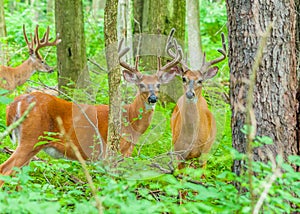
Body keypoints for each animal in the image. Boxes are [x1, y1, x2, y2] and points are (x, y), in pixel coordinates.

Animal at [0, 33, 183, 184]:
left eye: (158, 85)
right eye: (141, 85)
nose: (153, 98)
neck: (130, 120)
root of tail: (15, 104)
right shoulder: (112, 153)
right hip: (31, 138)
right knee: (5, 170)